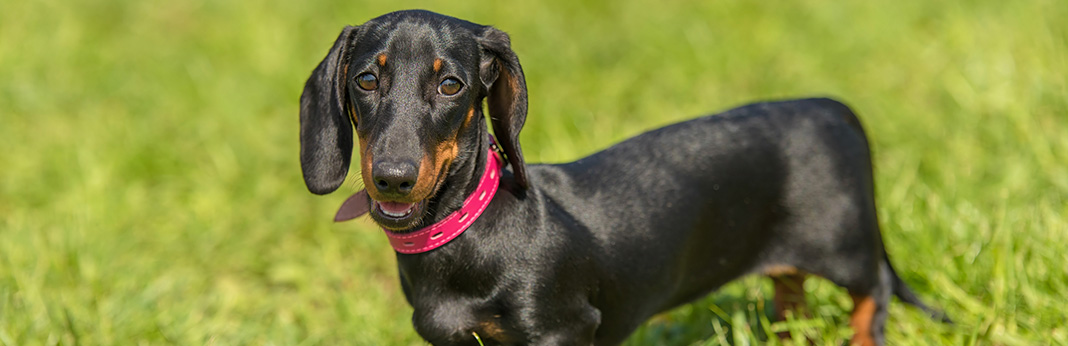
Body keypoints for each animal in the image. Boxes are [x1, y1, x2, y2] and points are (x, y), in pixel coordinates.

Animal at [296, 9, 948, 343]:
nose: (393, 178)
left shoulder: (562, 330)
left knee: (873, 294)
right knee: (790, 293)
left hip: (848, 249)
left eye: (451, 84)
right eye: (366, 79)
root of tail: (831, 107)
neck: (467, 233)